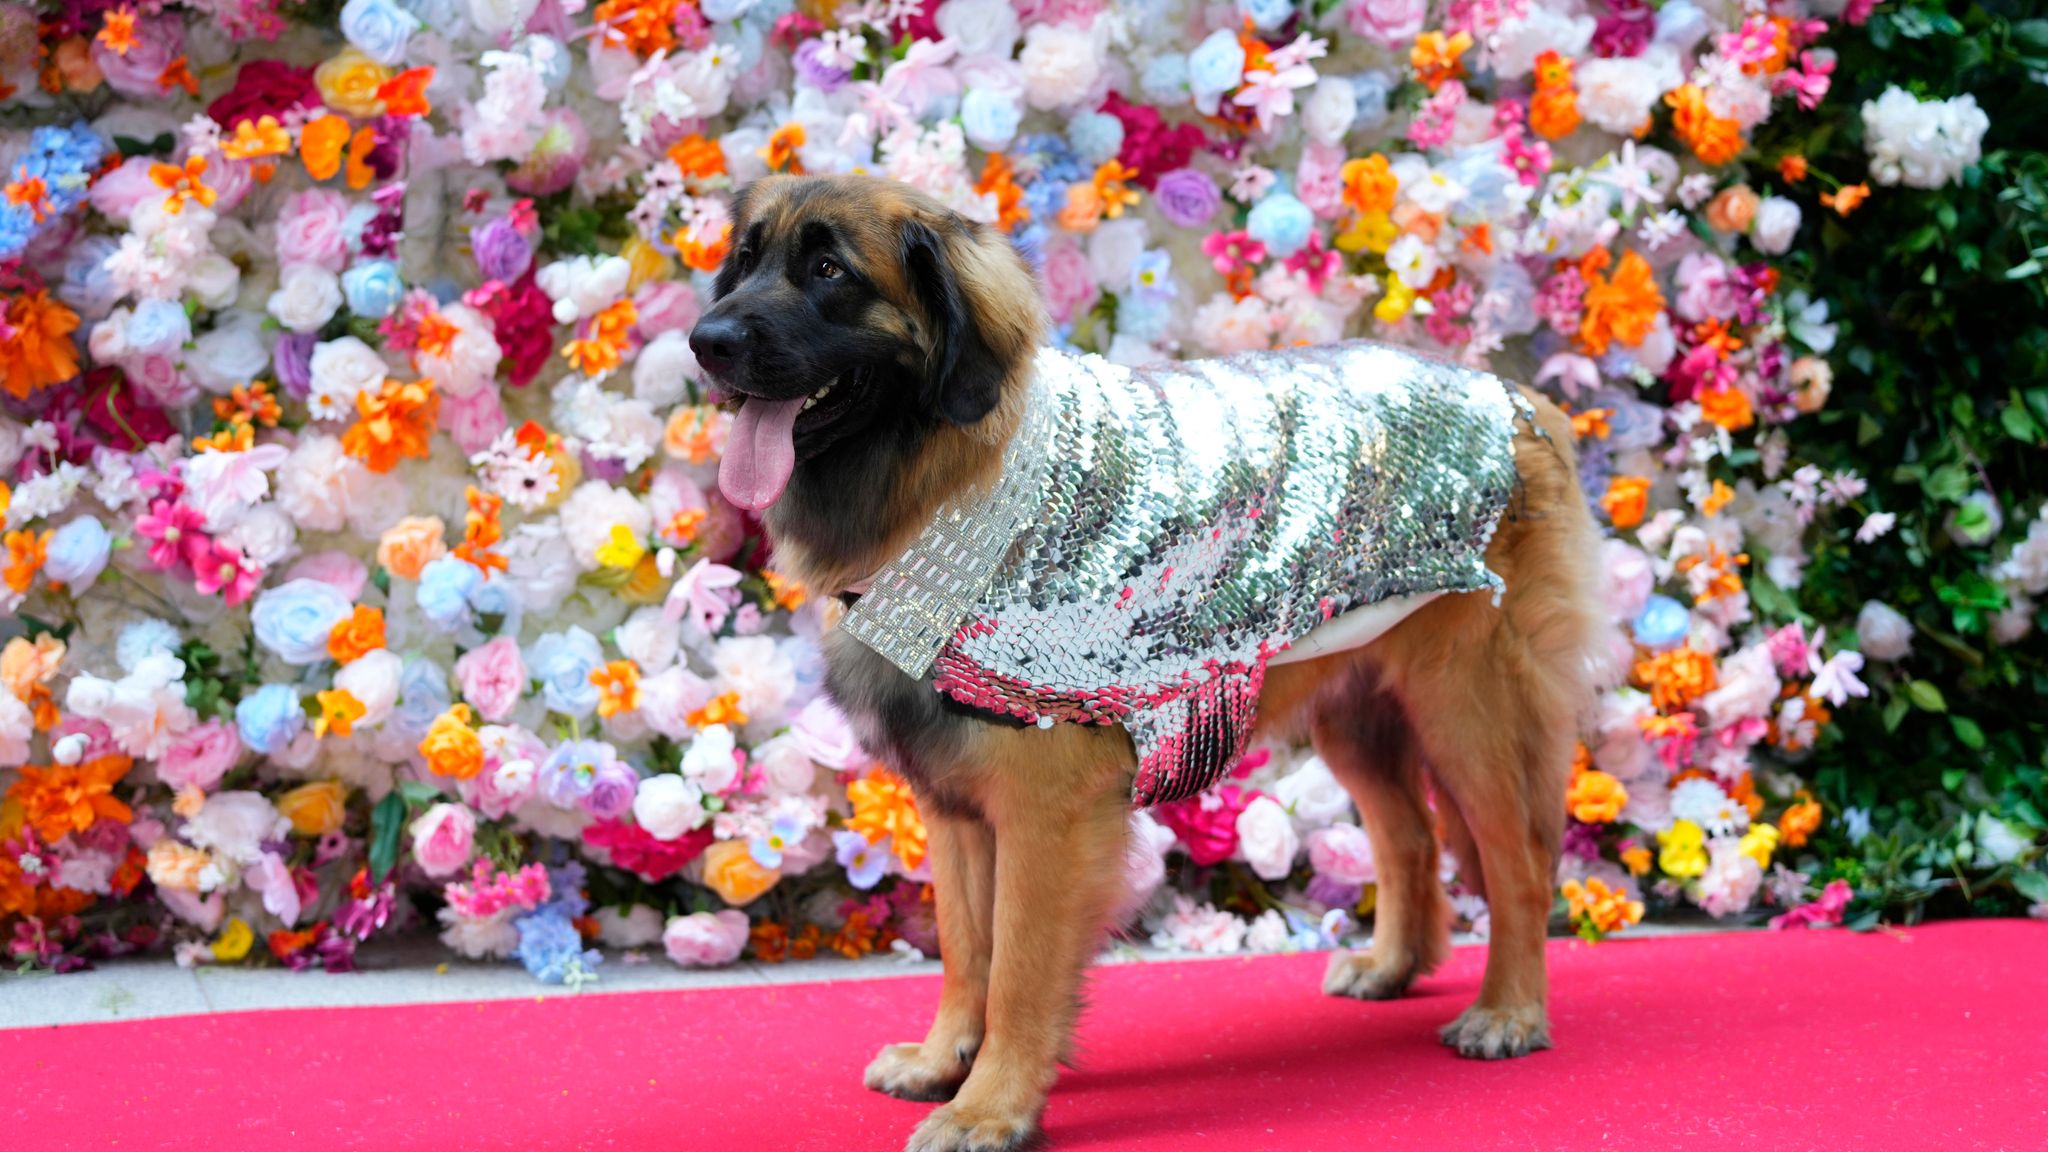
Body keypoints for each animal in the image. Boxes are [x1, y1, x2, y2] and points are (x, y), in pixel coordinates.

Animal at [696, 172, 1605, 1147]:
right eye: (746, 259)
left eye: (829, 270)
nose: (706, 342)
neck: (949, 482)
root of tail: (1512, 398)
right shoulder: (956, 804)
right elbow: (966, 947)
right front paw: (947, 1062)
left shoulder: (1045, 811)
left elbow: (1016, 966)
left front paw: (990, 1105)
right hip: (1360, 709)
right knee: (1410, 838)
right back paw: (1393, 965)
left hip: (1468, 704)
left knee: (1519, 861)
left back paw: (1508, 1011)